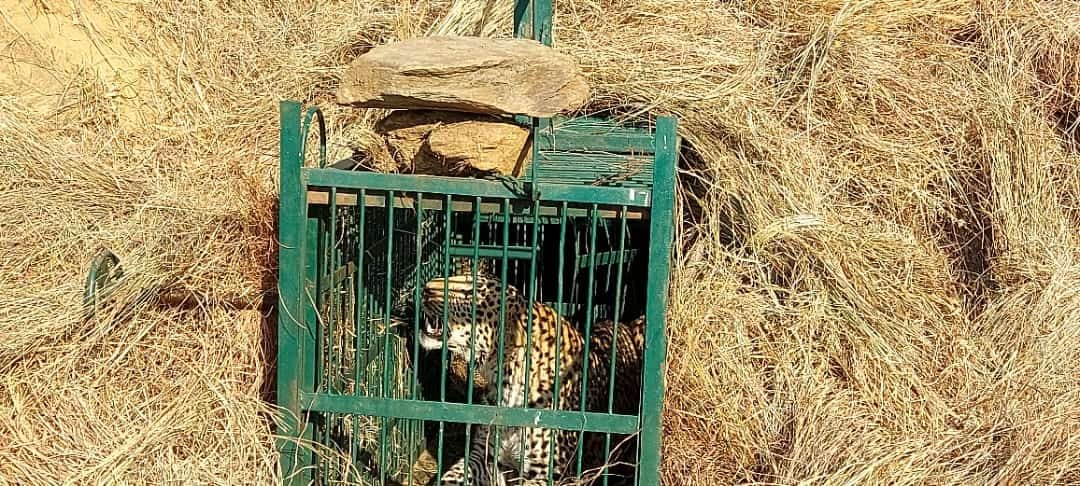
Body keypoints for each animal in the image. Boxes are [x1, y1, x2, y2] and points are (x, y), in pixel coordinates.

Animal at [418, 267, 646, 486]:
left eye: (470, 292)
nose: (425, 289)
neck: (505, 381)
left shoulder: (550, 474)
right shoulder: (482, 456)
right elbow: (450, 477)